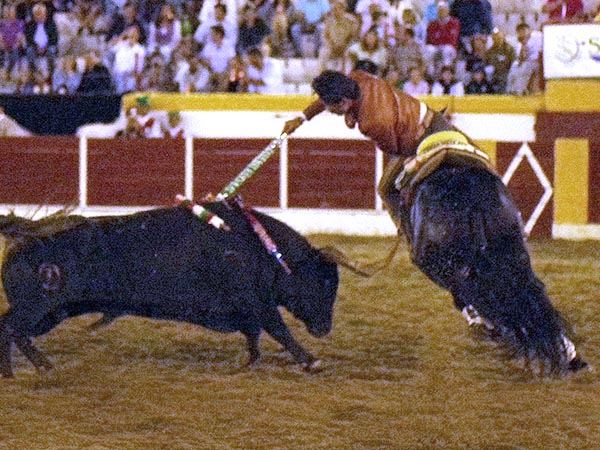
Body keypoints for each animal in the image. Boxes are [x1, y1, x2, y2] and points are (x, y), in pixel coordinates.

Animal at [0, 201, 340, 377]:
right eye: (322, 283)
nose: (325, 329)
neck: (260, 247)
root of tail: (28, 234)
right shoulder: (257, 302)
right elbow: (279, 330)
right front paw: (311, 360)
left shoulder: (248, 308)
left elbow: (254, 334)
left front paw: (249, 361)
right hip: (38, 308)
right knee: (10, 328)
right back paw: (15, 372)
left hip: (52, 313)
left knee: (17, 332)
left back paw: (43, 366)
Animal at [381, 111, 587, 375]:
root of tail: (471, 195)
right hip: (513, 251)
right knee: (528, 292)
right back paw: (564, 353)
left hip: (448, 265)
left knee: (478, 294)